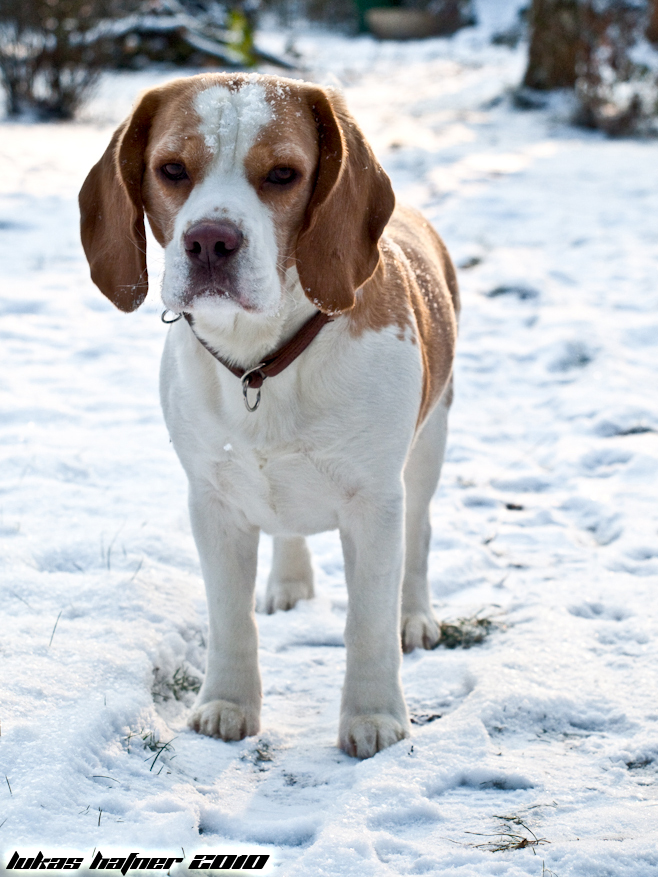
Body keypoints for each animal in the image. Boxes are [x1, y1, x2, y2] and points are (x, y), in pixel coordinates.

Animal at [79, 73, 456, 760]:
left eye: (283, 174)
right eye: (171, 169)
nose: (210, 241)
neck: (264, 360)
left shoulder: (375, 504)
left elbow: (368, 621)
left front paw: (373, 715)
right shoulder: (213, 500)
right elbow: (231, 617)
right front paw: (228, 703)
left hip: (428, 449)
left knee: (419, 539)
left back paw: (414, 615)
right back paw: (290, 581)